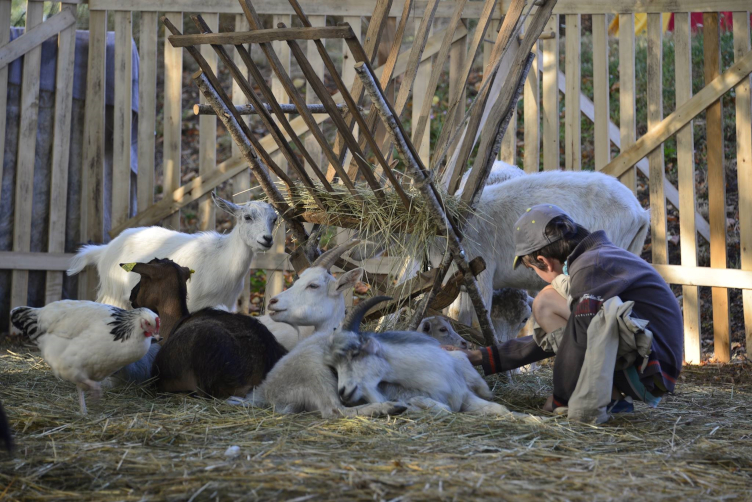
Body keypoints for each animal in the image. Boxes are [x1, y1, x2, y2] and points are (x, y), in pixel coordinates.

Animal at [67, 194, 278, 312]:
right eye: (247, 217)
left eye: (274, 219)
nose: (267, 239)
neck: (221, 259)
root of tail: (103, 250)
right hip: (115, 294)